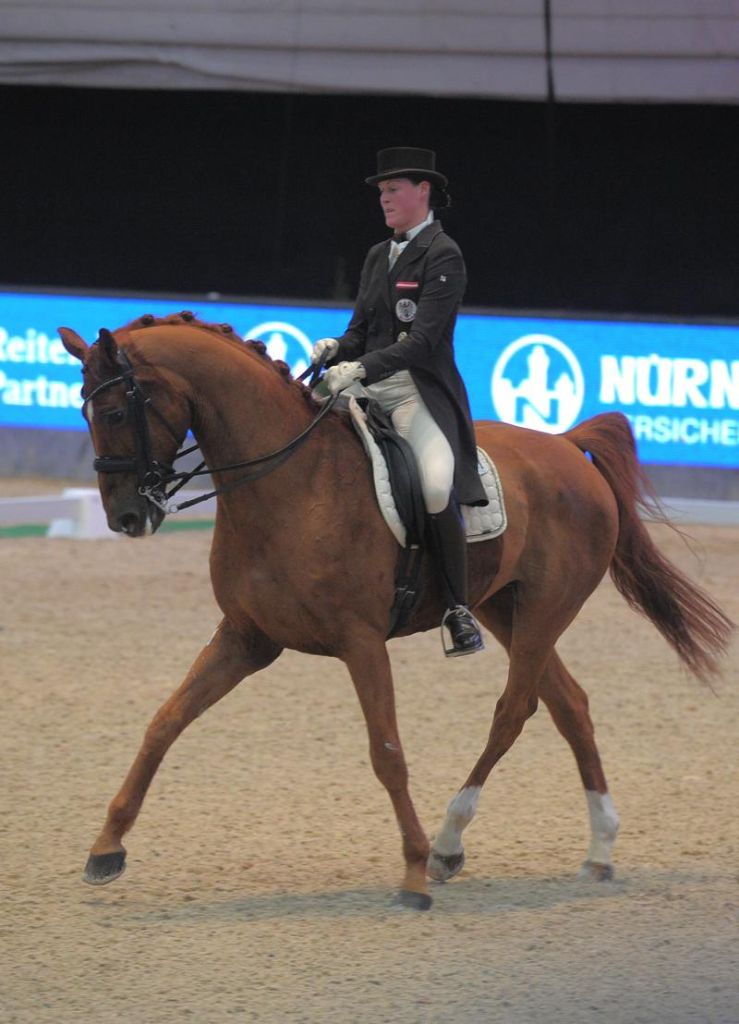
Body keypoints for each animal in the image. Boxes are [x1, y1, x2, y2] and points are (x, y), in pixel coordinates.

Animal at [60, 313, 728, 913]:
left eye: (115, 412)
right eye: (85, 413)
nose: (126, 518)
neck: (290, 483)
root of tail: (564, 445)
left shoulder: (361, 642)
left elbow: (387, 753)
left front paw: (411, 874)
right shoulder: (246, 638)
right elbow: (164, 723)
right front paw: (105, 849)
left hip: (545, 610)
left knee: (515, 710)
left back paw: (447, 846)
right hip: (502, 608)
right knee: (570, 704)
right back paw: (599, 850)